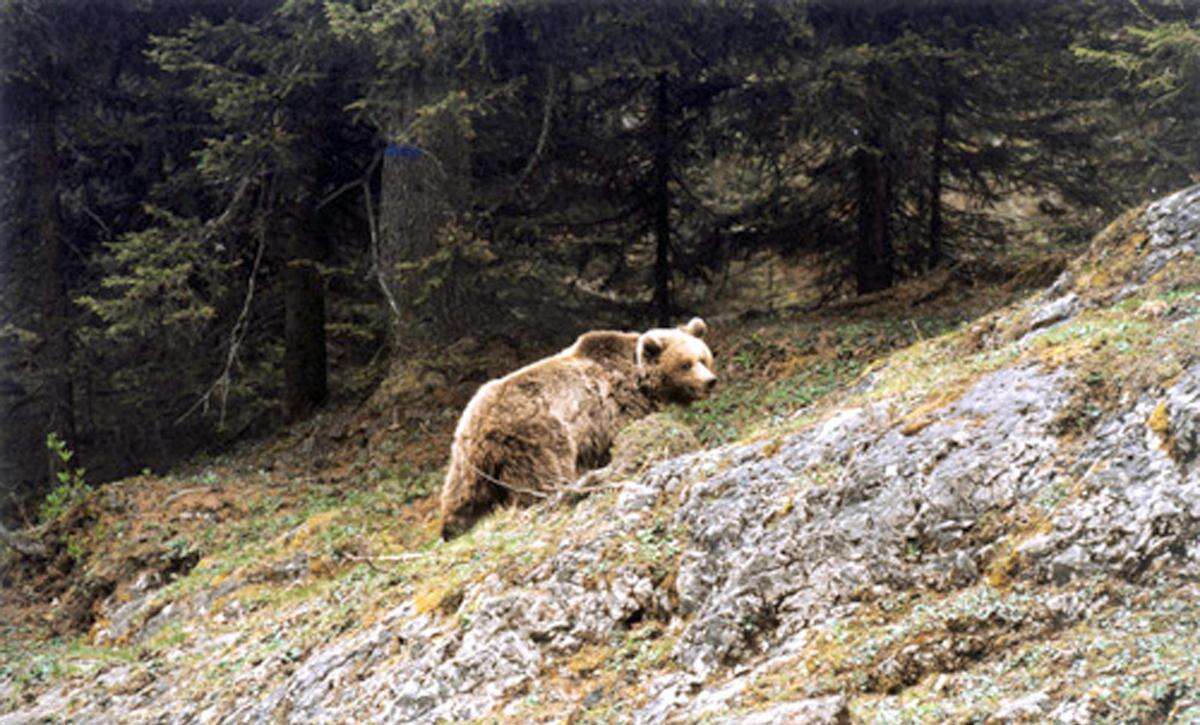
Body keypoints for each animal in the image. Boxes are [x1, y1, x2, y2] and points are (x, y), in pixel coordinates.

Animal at [444, 316, 715, 537]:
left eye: (703, 358)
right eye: (686, 364)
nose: (710, 381)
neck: (640, 380)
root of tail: (480, 421)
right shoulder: (615, 408)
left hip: (468, 460)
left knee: (463, 494)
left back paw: (453, 527)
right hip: (537, 435)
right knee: (542, 474)